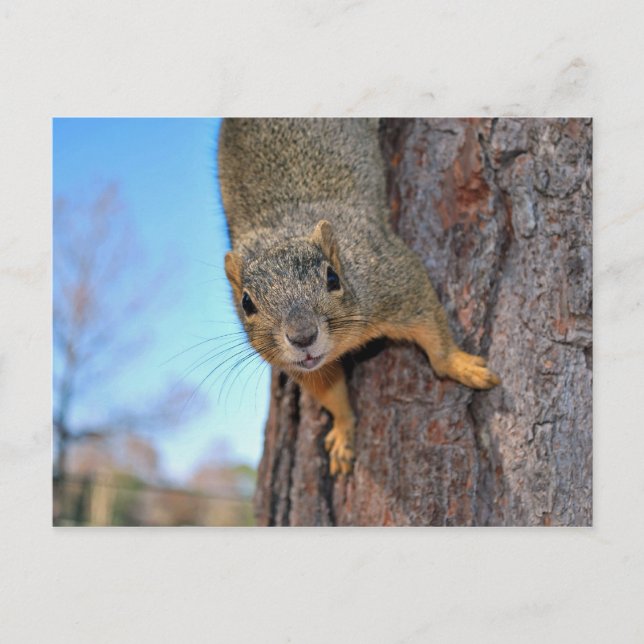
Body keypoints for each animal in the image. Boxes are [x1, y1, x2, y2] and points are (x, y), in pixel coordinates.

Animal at [218, 118, 500, 476]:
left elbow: (434, 338)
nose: (303, 337)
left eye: (332, 278)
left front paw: (461, 366)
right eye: (246, 303)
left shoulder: (396, 280)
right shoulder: (303, 367)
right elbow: (331, 394)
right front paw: (343, 432)